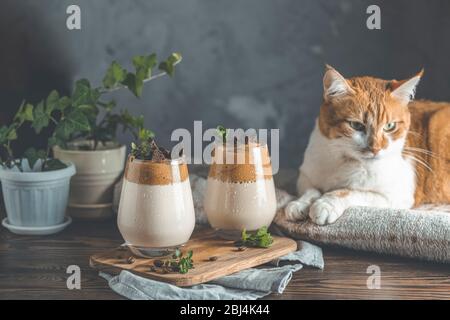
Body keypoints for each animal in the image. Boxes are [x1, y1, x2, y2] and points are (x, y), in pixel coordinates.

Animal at [286, 65, 448, 225]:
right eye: (356, 125)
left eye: (389, 126)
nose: (376, 148)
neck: (343, 161)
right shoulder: (305, 176)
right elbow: (311, 190)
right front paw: (299, 204)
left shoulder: (395, 196)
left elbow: (349, 191)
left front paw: (326, 204)